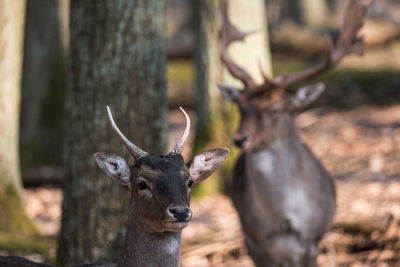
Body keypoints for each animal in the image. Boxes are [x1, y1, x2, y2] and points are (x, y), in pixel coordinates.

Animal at [219, 0, 368, 267]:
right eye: (241, 106)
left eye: (276, 109)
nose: (240, 138)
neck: (283, 221)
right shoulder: (255, 241)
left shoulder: (312, 240)